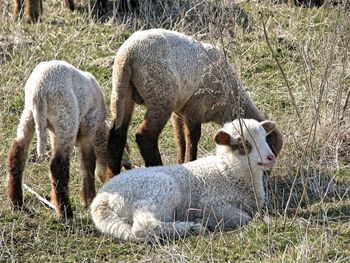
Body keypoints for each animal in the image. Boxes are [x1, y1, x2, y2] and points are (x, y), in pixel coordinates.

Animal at [6, 60, 108, 220]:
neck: (100, 128)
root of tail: (39, 90)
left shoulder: (55, 133)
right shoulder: (89, 127)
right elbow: (88, 164)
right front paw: (89, 200)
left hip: (29, 116)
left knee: (16, 155)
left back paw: (16, 203)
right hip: (66, 119)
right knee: (58, 167)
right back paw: (65, 212)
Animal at [91, 118, 278, 242]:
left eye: (264, 137)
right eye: (242, 144)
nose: (271, 158)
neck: (226, 173)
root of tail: (101, 199)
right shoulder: (212, 203)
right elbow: (244, 217)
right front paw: (208, 220)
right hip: (158, 191)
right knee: (144, 226)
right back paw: (192, 227)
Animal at [107, 27, 284, 178]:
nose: (266, 177)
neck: (230, 98)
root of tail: (129, 53)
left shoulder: (179, 111)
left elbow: (180, 139)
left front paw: (180, 162)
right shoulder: (196, 106)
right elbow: (193, 137)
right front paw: (190, 162)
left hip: (122, 90)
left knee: (116, 136)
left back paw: (111, 177)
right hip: (161, 95)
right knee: (145, 136)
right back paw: (156, 166)